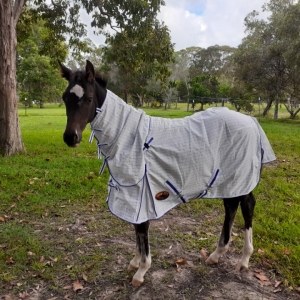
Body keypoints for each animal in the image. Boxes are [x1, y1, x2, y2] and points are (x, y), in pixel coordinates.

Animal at [57, 59, 276, 288]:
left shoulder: (142, 194)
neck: (128, 137)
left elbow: (142, 229)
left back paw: (243, 260)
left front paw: (141, 271)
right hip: (229, 181)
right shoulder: (133, 195)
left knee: (247, 206)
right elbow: (137, 229)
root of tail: (251, 121)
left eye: (89, 98)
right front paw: (134, 262)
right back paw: (216, 255)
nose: (71, 137)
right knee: (231, 206)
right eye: (64, 97)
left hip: (242, 177)